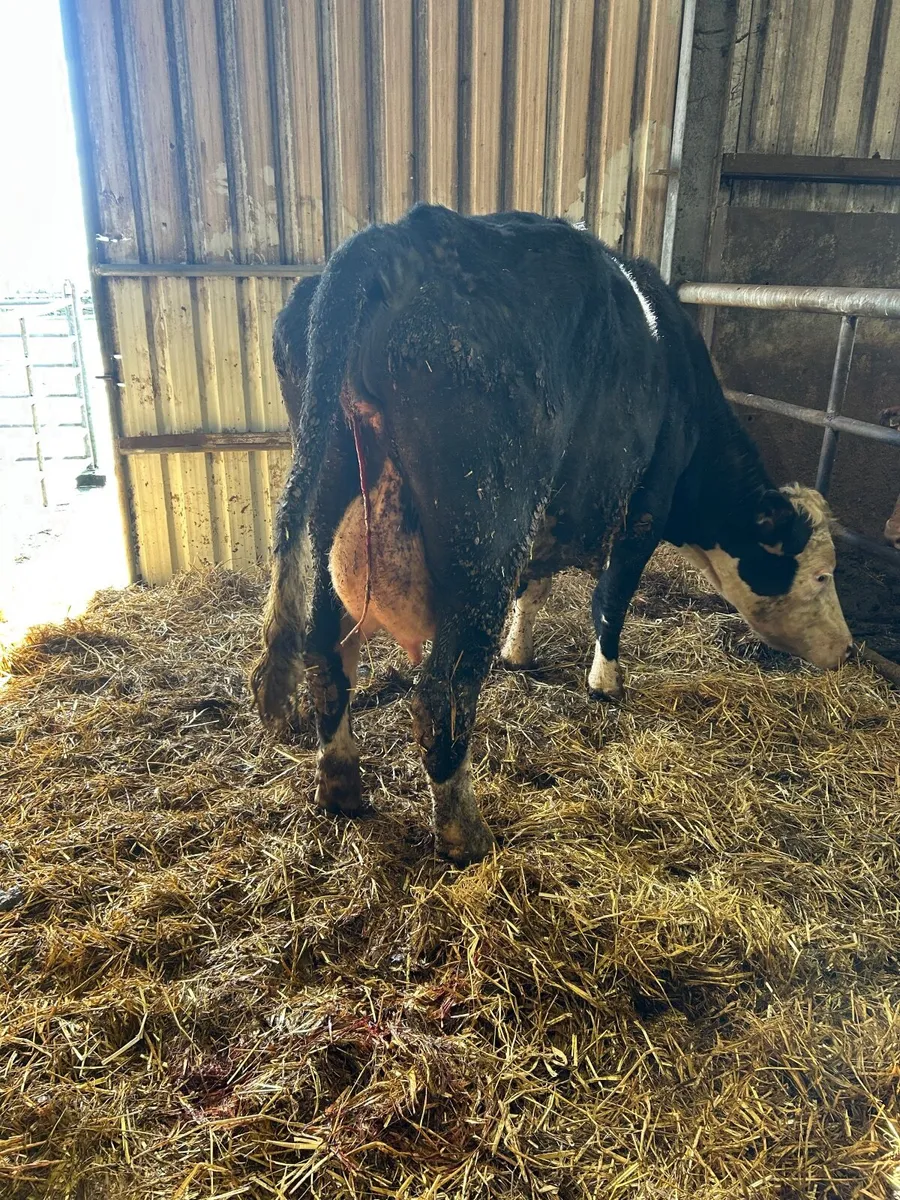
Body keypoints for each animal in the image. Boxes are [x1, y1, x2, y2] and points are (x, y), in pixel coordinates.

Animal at [251, 204, 852, 865]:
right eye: (821, 574)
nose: (849, 651)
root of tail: (394, 241)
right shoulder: (642, 512)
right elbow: (611, 599)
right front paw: (606, 683)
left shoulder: (545, 524)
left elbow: (534, 588)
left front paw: (519, 653)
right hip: (485, 532)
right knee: (442, 692)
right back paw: (464, 833)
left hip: (333, 507)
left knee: (326, 656)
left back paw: (342, 785)